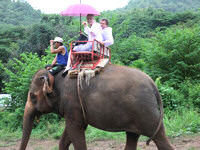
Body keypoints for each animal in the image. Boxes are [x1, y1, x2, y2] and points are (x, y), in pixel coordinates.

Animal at [19, 64, 174, 150]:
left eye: (32, 96)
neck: (56, 75)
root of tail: (153, 84)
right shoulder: (74, 108)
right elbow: (67, 135)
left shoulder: (72, 102)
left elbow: (75, 129)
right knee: (132, 137)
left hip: (145, 111)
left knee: (160, 139)